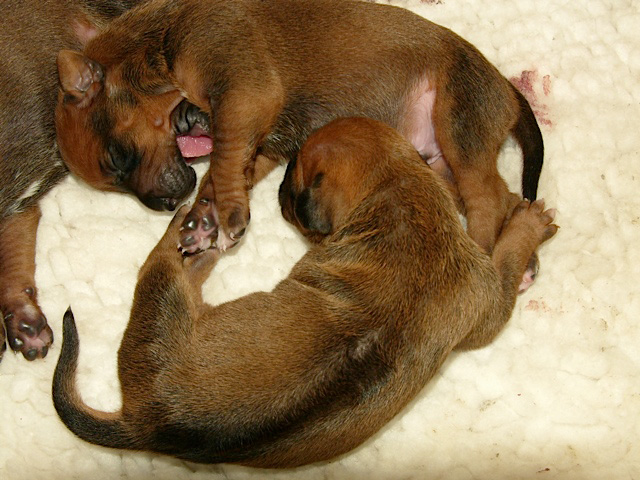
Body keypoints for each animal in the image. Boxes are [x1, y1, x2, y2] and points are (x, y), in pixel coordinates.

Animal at [52, 118, 557, 468]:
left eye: (294, 183)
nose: (279, 183)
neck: (397, 189)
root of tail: (145, 427)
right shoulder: (488, 300)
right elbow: (504, 263)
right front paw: (525, 224)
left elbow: (506, 257)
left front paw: (524, 225)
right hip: (163, 300)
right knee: (163, 261)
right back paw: (195, 226)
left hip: (166, 299)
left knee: (170, 264)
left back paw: (197, 233)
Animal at [53, 0, 544, 259]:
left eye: (118, 157)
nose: (165, 206)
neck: (162, 42)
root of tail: (506, 87)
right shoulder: (263, 139)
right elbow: (223, 170)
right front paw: (206, 220)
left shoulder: (244, 96)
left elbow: (223, 160)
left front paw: (226, 215)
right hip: (441, 162)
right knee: (503, 197)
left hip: (458, 128)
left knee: (487, 202)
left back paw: (483, 250)